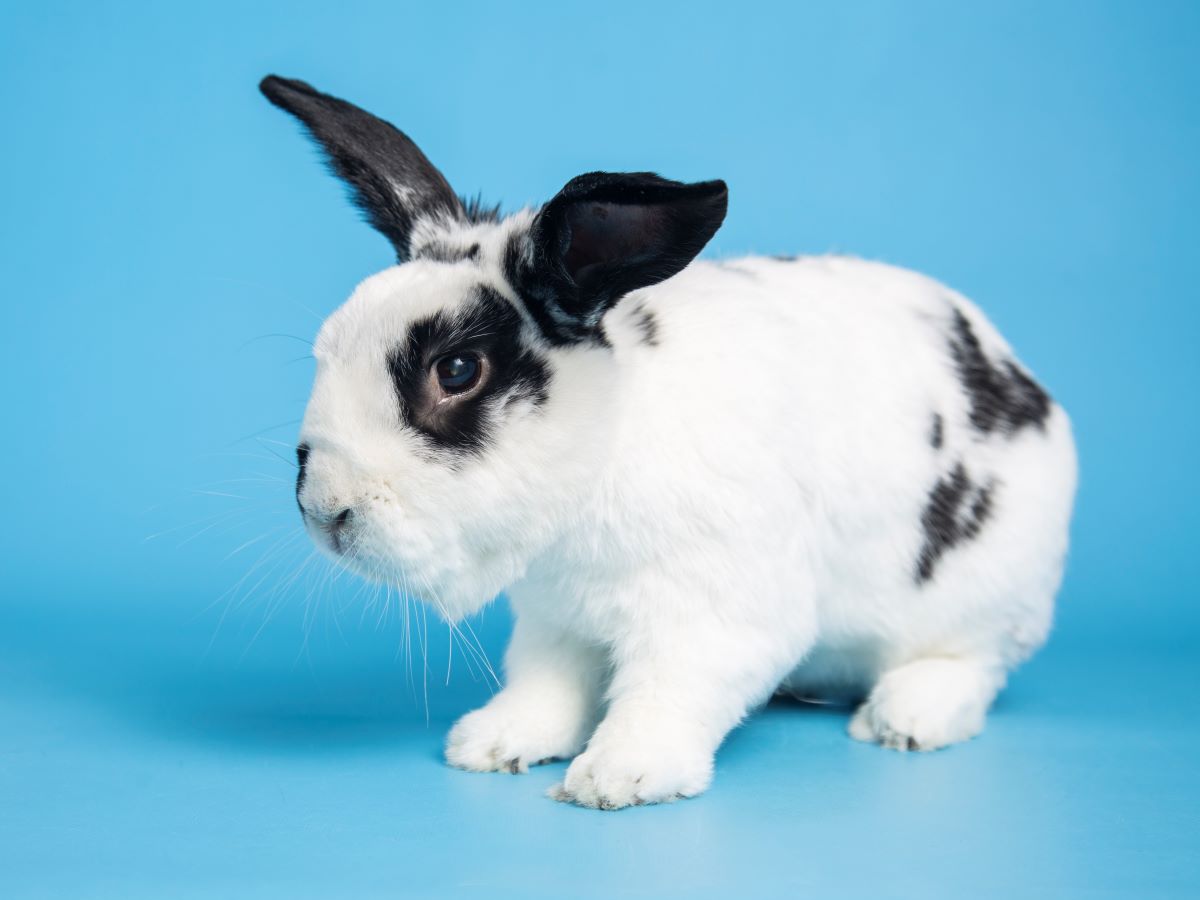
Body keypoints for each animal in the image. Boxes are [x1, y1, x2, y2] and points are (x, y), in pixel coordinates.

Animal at [260, 75, 1078, 810]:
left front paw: (617, 778)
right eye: (327, 349)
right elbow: (545, 685)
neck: (603, 453)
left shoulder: (714, 612)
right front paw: (491, 744)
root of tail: (1029, 388)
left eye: (457, 370)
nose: (325, 511)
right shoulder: (557, 620)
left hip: (985, 594)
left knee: (975, 663)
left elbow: (670, 692)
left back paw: (907, 717)